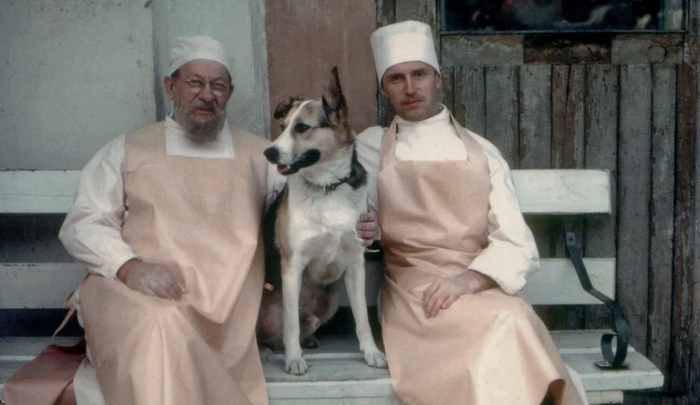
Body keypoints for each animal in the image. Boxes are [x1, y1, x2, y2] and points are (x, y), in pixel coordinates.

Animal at [256, 67, 387, 375]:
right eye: (283, 127)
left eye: (302, 128)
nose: (269, 152)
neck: (327, 187)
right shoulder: (292, 265)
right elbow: (290, 324)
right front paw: (294, 359)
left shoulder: (355, 264)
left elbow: (362, 319)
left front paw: (371, 353)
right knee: (274, 332)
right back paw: (270, 350)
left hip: (329, 303)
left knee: (310, 323)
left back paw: (311, 338)